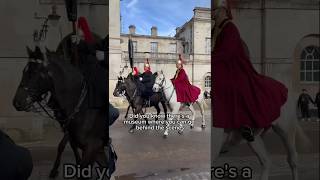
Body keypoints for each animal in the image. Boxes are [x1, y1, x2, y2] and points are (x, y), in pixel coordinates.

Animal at [12, 46, 112, 179]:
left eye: (34, 73)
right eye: (24, 71)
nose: (17, 102)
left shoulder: (92, 148)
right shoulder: (93, 148)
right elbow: (66, 145)